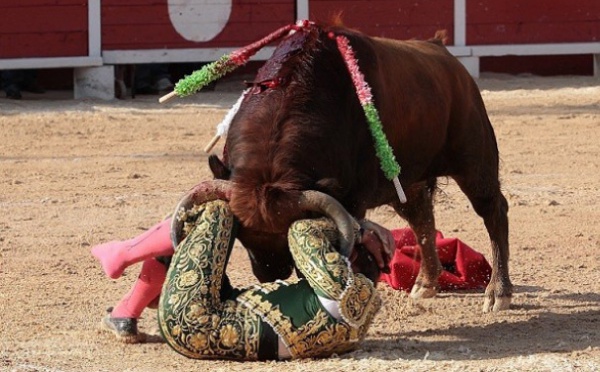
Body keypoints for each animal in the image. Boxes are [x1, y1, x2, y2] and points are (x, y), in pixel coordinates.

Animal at [206, 21, 510, 312]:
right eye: (242, 232)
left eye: (287, 235)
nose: (271, 273)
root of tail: (445, 54)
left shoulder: (352, 203)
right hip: (406, 182)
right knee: (422, 218)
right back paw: (425, 283)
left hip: (475, 163)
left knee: (493, 210)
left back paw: (498, 292)